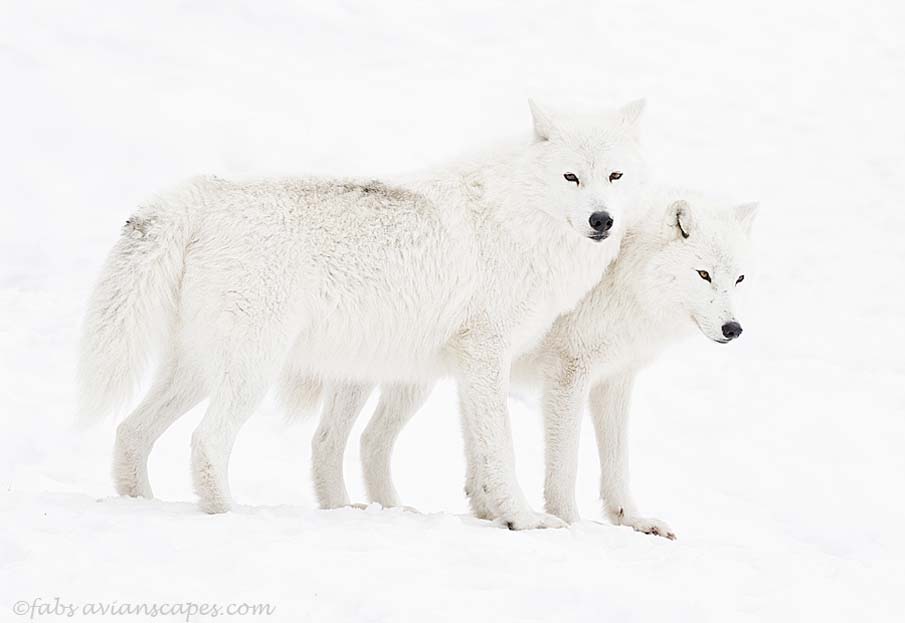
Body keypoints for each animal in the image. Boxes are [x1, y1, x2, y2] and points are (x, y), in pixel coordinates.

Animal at [76, 100, 644, 528]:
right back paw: (227, 513)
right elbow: (500, 447)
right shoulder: (487, 355)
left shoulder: (464, 366)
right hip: (252, 369)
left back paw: (141, 503)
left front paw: (493, 513)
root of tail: (204, 195)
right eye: (571, 177)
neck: (519, 219)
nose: (602, 220)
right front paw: (524, 519)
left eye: (615, 175)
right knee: (206, 440)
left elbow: (478, 453)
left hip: (196, 370)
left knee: (130, 431)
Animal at [304, 188, 756, 540]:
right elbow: (564, 463)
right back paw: (344, 509)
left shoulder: (614, 380)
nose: (733, 328)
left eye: (739, 279)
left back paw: (393, 510)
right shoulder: (568, 374)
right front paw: (569, 523)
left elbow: (617, 463)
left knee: (370, 440)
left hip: (416, 382)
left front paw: (633, 520)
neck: (624, 276)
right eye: (703, 274)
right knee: (326, 440)